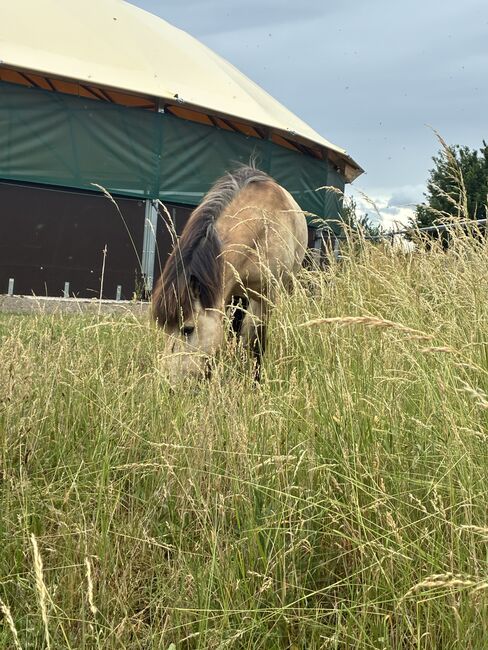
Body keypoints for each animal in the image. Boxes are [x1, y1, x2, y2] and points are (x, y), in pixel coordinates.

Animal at [151, 165, 308, 382]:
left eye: (187, 329)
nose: (169, 382)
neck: (261, 226)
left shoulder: (266, 295)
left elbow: (257, 342)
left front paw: (256, 381)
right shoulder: (222, 293)